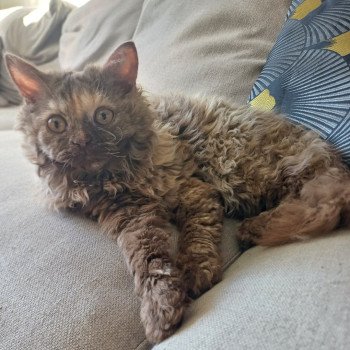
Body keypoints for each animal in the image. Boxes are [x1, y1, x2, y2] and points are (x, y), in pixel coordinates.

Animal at [4, 41, 350, 344]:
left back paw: (254, 228)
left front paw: (195, 274)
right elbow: (151, 263)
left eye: (103, 116)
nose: (82, 142)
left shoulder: (196, 192)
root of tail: (328, 153)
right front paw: (161, 309)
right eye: (56, 124)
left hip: (244, 167)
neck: (114, 178)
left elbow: (195, 240)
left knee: (321, 201)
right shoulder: (131, 218)